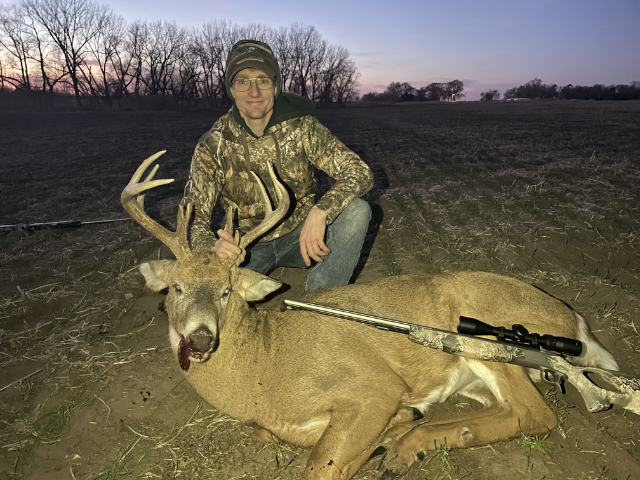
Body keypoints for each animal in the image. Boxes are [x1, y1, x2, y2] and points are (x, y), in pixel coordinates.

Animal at [122, 151, 624, 480]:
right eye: (176, 288)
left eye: (227, 290)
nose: (202, 339)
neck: (266, 371)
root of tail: (574, 323)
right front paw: (397, 428)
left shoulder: (373, 386)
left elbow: (318, 468)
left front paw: (389, 432)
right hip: (478, 374)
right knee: (510, 410)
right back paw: (415, 441)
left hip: (490, 337)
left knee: (536, 414)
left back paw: (406, 444)